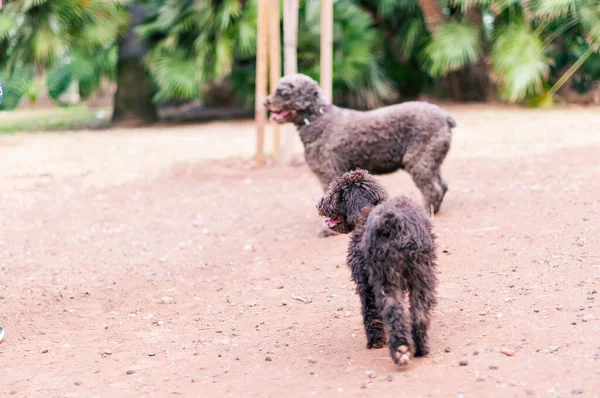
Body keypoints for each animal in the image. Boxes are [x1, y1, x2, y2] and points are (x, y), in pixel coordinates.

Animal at [264, 74, 458, 233]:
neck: (319, 120)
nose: (265, 102)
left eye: (283, 92)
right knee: (442, 186)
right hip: (431, 161)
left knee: (433, 190)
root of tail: (445, 116)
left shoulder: (329, 172)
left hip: (419, 161)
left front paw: (327, 230)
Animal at [316, 169, 438, 366]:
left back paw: (400, 349)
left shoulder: (365, 282)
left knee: (393, 309)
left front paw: (375, 341)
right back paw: (421, 348)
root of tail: (392, 222)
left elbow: (370, 313)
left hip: (385, 278)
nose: (318, 203)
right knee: (420, 312)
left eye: (334, 192)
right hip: (422, 275)